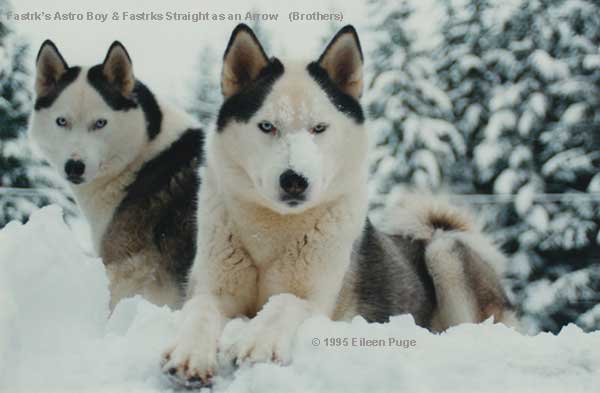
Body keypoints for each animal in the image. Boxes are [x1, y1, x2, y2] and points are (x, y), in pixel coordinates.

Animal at [163, 24, 516, 386]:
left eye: (319, 128)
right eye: (267, 126)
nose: (295, 180)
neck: (273, 233)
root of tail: (434, 232)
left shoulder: (317, 301)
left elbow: (285, 302)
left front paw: (258, 341)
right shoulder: (213, 290)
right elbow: (201, 310)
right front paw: (190, 353)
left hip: (445, 252)